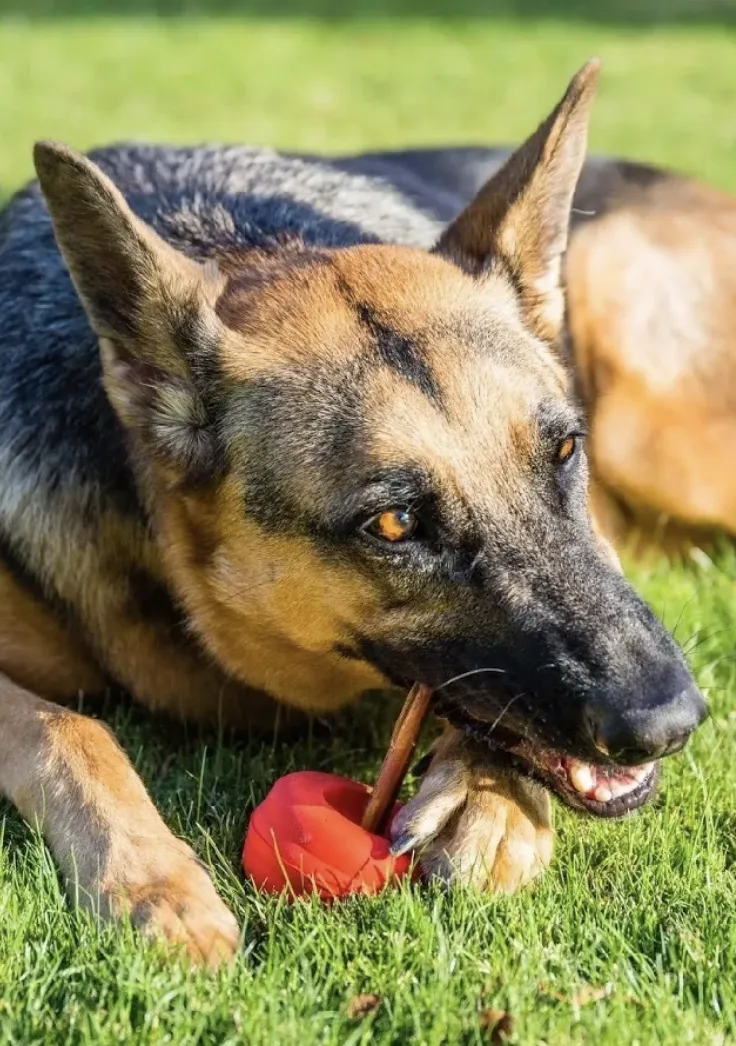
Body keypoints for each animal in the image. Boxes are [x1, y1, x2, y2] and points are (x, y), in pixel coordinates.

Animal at [0, 63, 710, 962]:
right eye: (394, 525)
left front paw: (486, 790)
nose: (670, 723)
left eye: (561, 451)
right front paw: (150, 879)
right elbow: (67, 728)